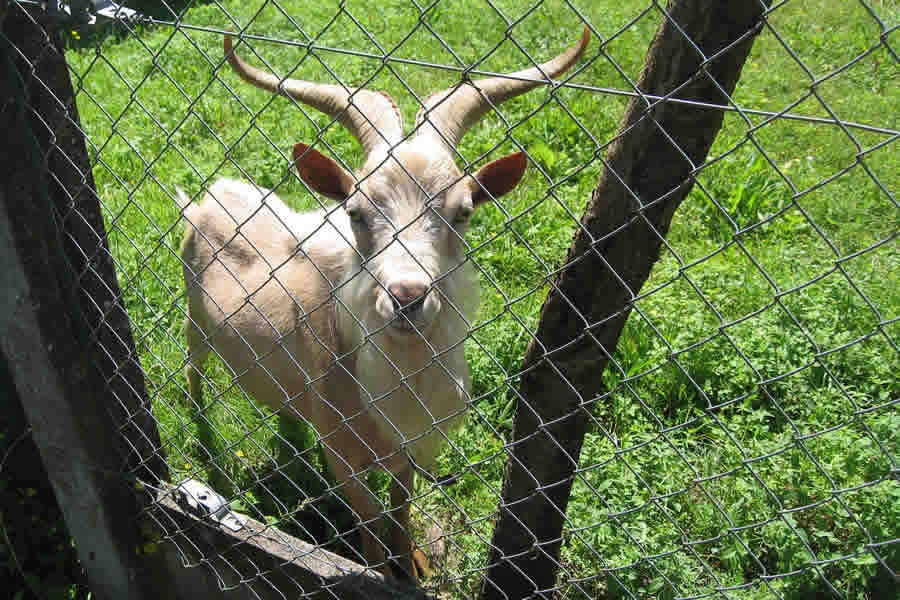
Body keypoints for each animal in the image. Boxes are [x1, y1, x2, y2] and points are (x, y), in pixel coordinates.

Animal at [179, 28, 589, 580]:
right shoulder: (340, 452)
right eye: (354, 213)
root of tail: (207, 197)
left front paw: (414, 563)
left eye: (463, 213)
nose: (407, 297)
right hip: (194, 319)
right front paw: (379, 572)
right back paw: (200, 425)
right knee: (194, 366)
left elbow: (400, 503)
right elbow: (368, 517)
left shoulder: (410, 449)